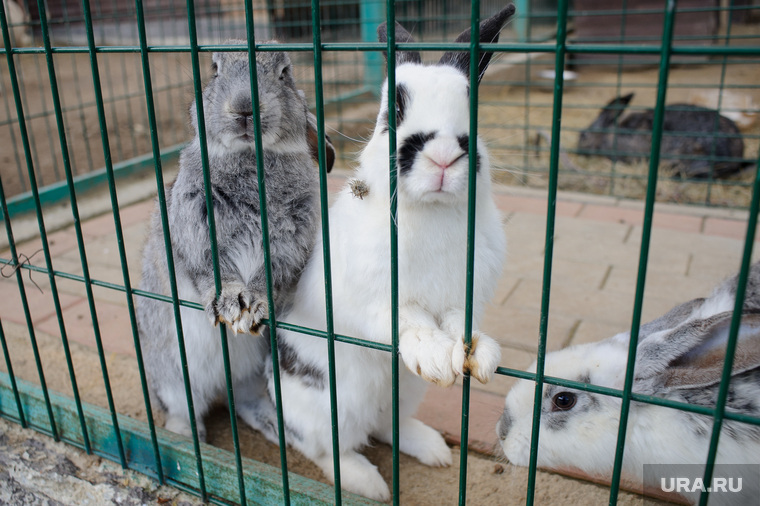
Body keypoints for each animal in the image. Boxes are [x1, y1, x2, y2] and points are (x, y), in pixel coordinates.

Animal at [134, 40, 336, 442]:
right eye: (214, 70)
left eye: (285, 73)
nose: (244, 106)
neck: (249, 157)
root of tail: (219, 387)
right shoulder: (195, 229)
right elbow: (211, 271)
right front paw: (229, 304)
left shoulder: (290, 242)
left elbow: (270, 276)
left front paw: (252, 307)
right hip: (168, 374)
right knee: (182, 407)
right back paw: (187, 438)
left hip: (255, 373)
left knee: (245, 401)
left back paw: (274, 426)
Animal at [262, 4, 516, 502]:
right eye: (391, 115)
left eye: (472, 113)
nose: (443, 156)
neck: (430, 212)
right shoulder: (374, 302)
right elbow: (407, 320)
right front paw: (436, 354)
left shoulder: (465, 295)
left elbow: (461, 322)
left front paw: (479, 355)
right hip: (330, 405)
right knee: (326, 448)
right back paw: (368, 484)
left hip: (406, 392)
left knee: (387, 426)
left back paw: (433, 449)